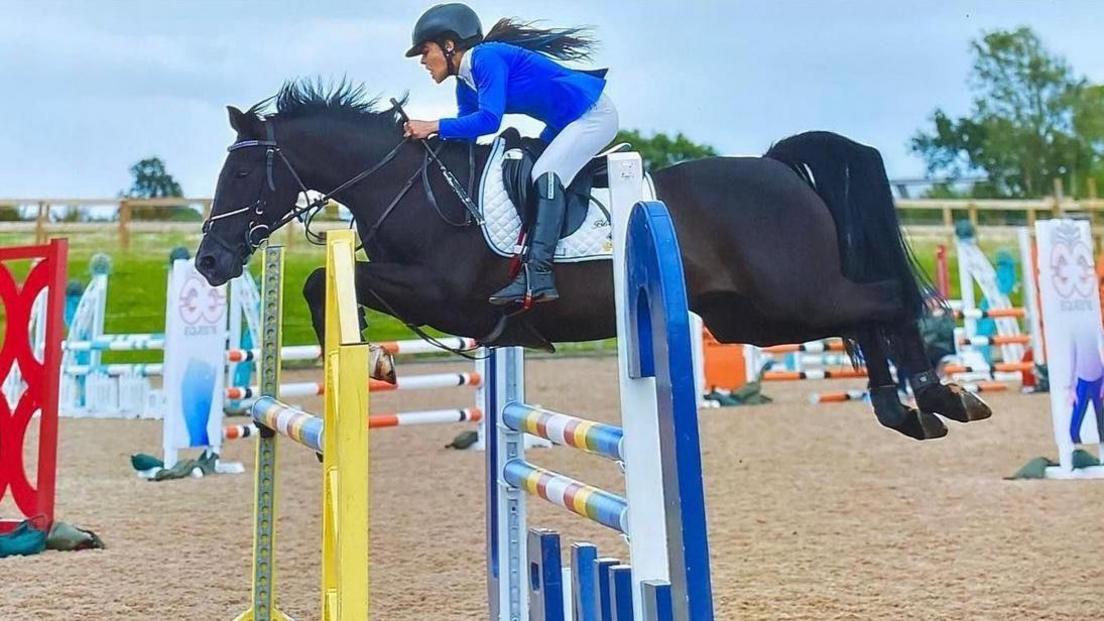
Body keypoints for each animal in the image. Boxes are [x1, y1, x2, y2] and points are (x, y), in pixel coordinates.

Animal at [196, 81, 993, 439]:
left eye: (242, 173)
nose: (207, 262)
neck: (404, 187)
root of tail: (776, 166)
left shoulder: (440, 291)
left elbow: (328, 279)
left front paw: (380, 362)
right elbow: (325, 280)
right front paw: (379, 361)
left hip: (793, 296)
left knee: (886, 299)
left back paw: (939, 396)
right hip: (757, 317)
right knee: (865, 315)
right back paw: (906, 409)